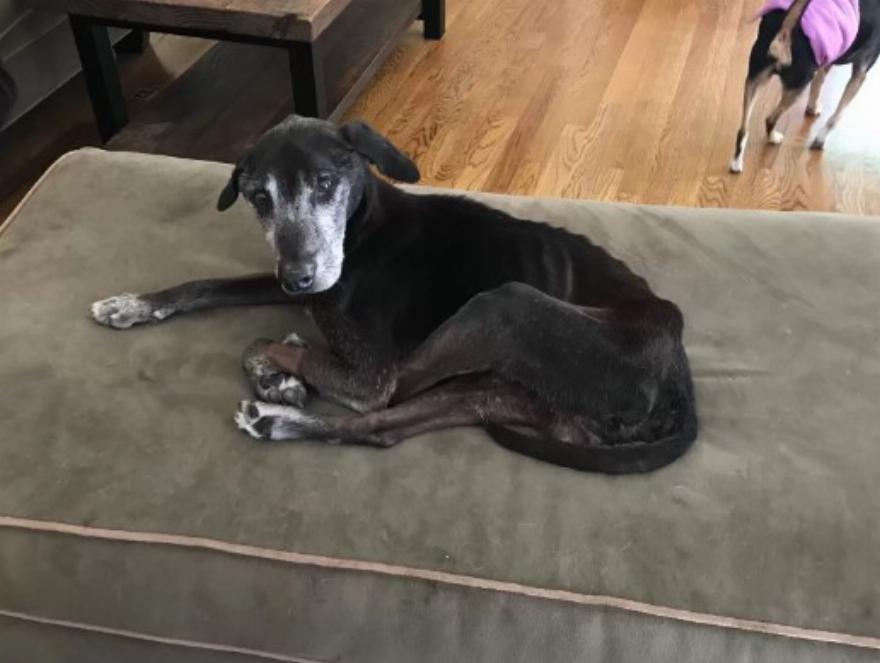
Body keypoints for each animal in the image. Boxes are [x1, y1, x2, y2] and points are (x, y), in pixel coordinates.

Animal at [90, 116, 698, 474]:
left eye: (325, 184)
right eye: (258, 196)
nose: (299, 278)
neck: (361, 230)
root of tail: (679, 372)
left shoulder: (367, 372)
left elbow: (264, 343)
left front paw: (276, 374)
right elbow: (207, 285)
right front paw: (133, 304)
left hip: (502, 305)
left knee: (388, 398)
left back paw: (279, 398)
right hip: (490, 389)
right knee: (381, 430)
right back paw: (276, 422)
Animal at [729, 0, 880, 173]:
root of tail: (785, 33)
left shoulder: (826, 59)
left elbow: (818, 85)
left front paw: (812, 108)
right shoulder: (860, 72)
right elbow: (836, 116)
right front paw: (820, 141)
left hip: (754, 80)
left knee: (743, 130)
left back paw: (736, 163)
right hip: (798, 86)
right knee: (770, 119)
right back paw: (774, 137)